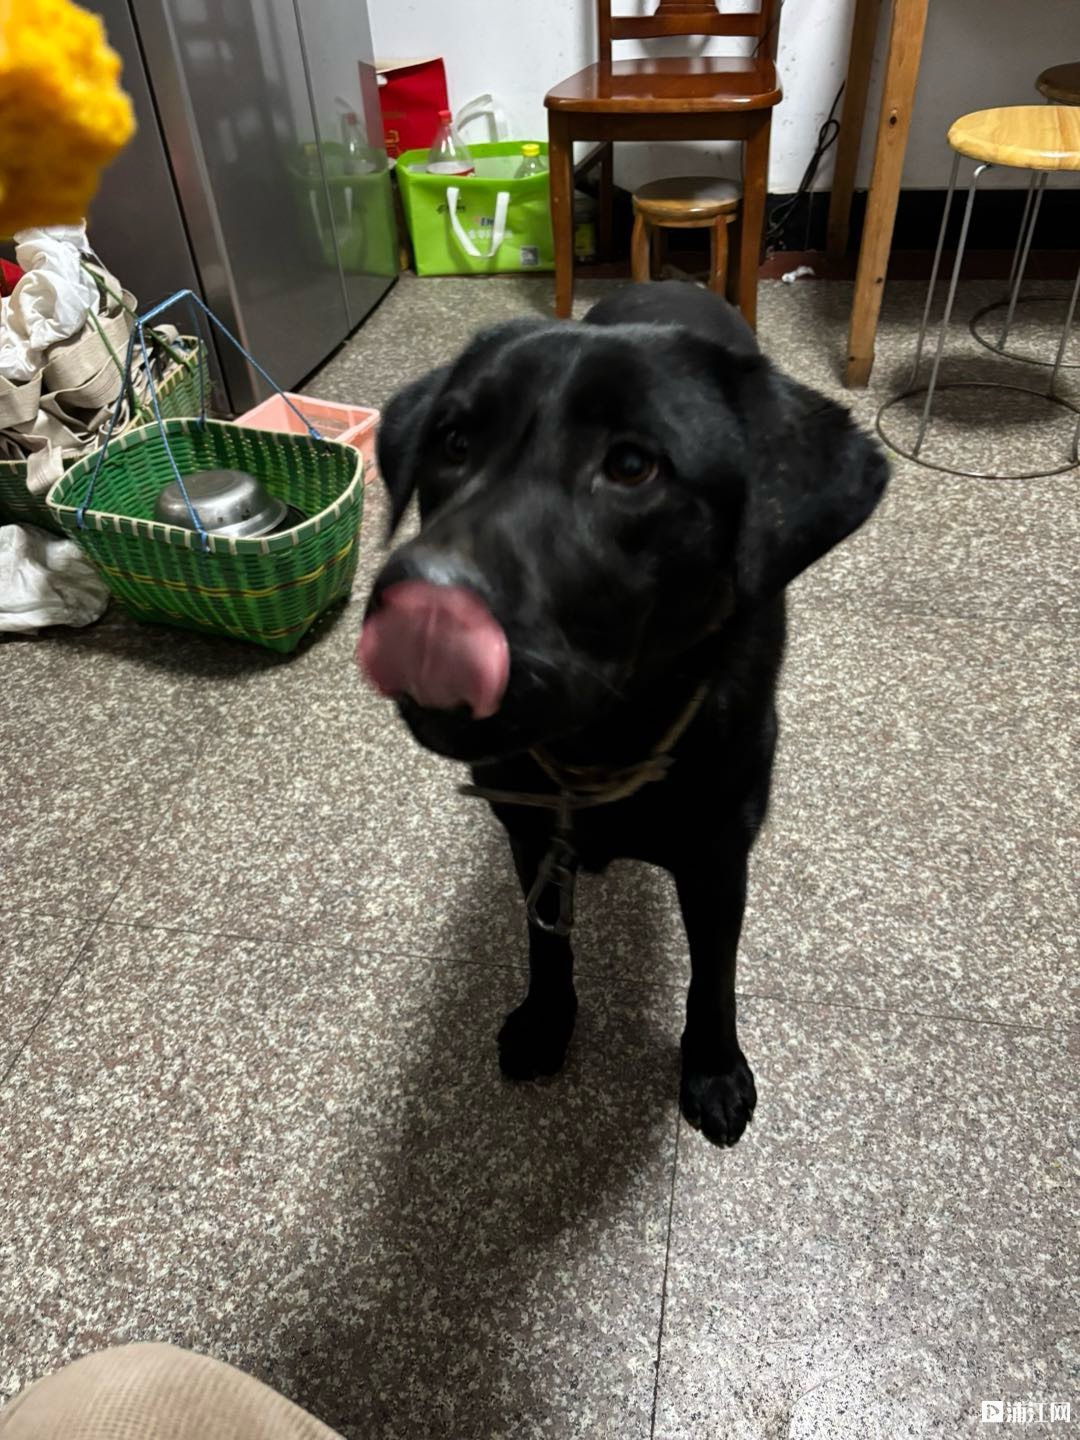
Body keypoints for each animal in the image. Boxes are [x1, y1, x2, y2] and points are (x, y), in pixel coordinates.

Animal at [359, 283, 888, 1147]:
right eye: (454, 442)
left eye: (633, 467)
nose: (420, 600)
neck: (606, 741)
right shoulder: (533, 832)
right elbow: (545, 943)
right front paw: (546, 1021)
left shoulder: (717, 858)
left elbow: (714, 976)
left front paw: (713, 1068)